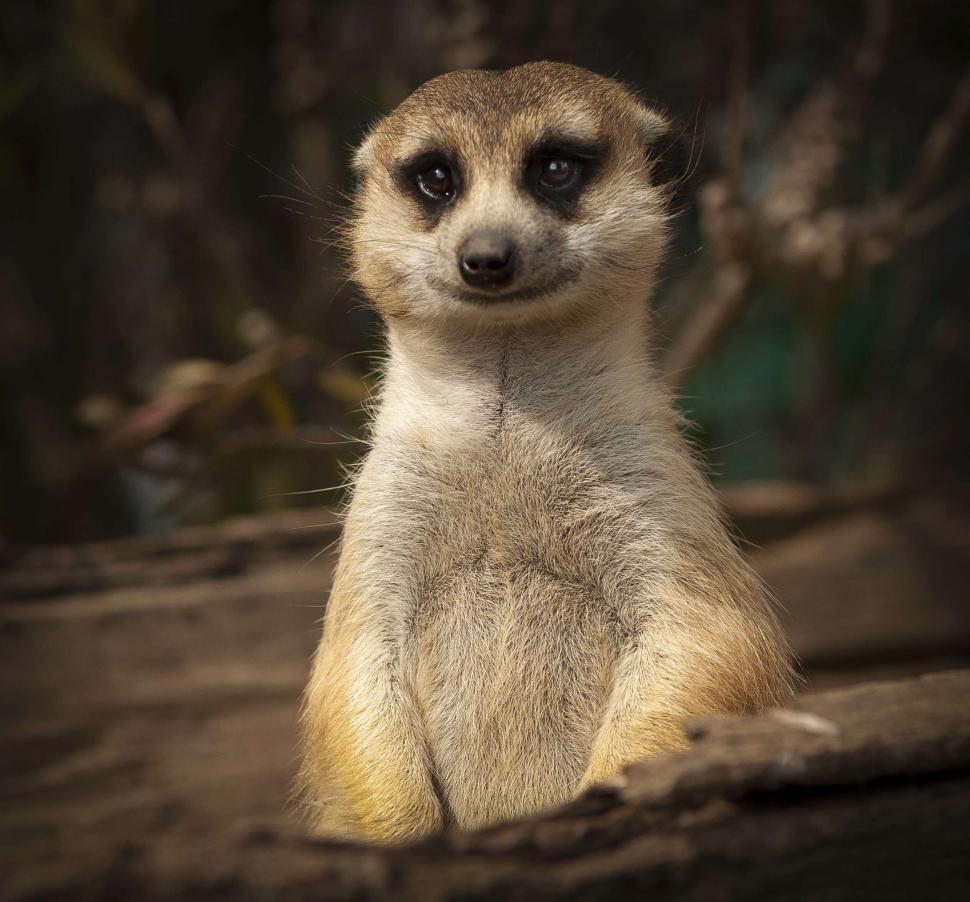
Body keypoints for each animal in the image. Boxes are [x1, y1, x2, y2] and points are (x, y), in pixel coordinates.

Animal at [298, 61, 795, 844]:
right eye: (436, 177)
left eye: (555, 168)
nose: (487, 257)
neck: (504, 431)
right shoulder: (384, 511)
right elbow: (351, 664)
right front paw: (401, 832)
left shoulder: (656, 487)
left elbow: (705, 639)